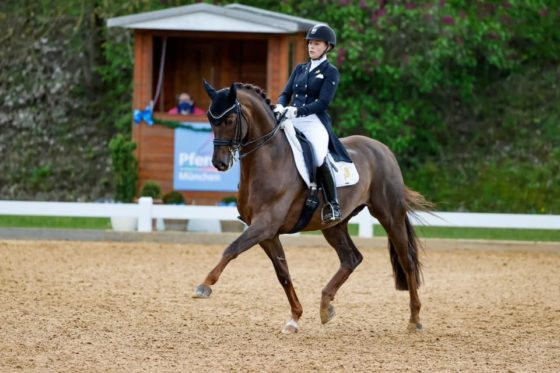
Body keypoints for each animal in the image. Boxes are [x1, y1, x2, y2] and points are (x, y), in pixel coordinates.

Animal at [192, 80, 428, 332]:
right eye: (210, 119)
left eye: (229, 120)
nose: (219, 163)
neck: (269, 160)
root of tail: (384, 150)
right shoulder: (267, 234)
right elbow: (283, 273)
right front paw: (294, 318)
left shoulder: (264, 225)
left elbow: (231, 249)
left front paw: (204, 286)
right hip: (334, 225)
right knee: (351, 258)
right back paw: (326, 306)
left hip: (389, 215)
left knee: (406, 261)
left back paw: (415, 319)